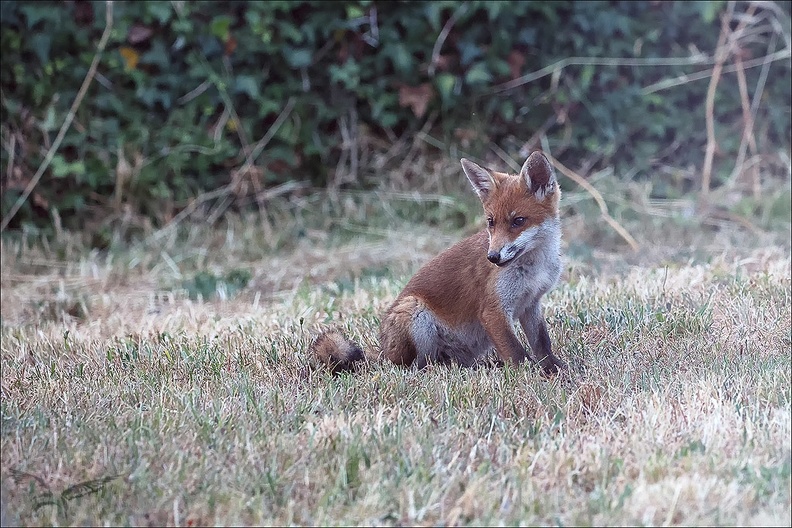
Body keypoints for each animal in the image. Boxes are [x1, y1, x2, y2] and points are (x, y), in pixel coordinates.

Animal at [310, 151, 564, 376]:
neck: (534, 268)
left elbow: (542, 344)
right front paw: (531, 375)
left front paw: (553, 368)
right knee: (416, 366)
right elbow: (516, 352)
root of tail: (384, 353)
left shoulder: (531, 303)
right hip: (415, 314)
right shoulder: (493, 311)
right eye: (491, 222)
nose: (492, 257)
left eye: (518, 221)